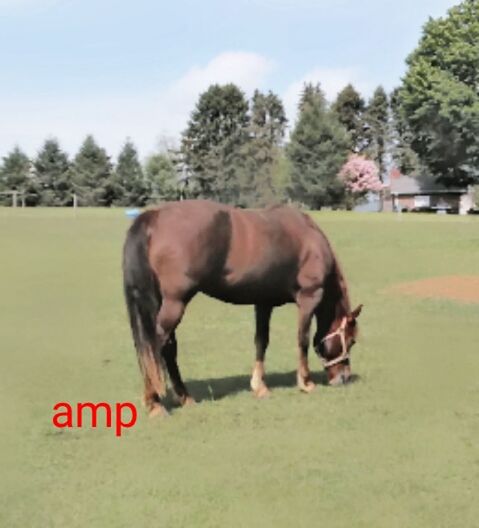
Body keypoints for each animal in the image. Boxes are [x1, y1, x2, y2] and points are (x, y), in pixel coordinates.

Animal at [124, 199, 364, 416]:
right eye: (351, 341)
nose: (343, 377)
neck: (309, 237)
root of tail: (155, 216)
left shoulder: (264, 303)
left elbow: (261, 341)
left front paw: (260, 387)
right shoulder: (308, 298)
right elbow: (302, 340)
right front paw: (306, 383)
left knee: (167, 347)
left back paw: (184, 397)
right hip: (176, 303)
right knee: (155, 344)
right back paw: (155, 402)